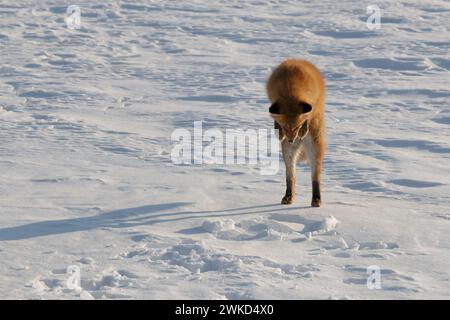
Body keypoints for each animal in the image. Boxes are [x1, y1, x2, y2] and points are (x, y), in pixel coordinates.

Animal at [268, 59, 326, 208]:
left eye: (297, 127)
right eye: (285, 127)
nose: (291, 140)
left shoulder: (313, 104)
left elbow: (308, 116)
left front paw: (305, 127)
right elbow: (275, 117)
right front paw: (277, 130)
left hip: (315, 150)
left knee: (315, 178)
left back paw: (316, 199)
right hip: (288, 154)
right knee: (291, 177)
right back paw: (288, 196)